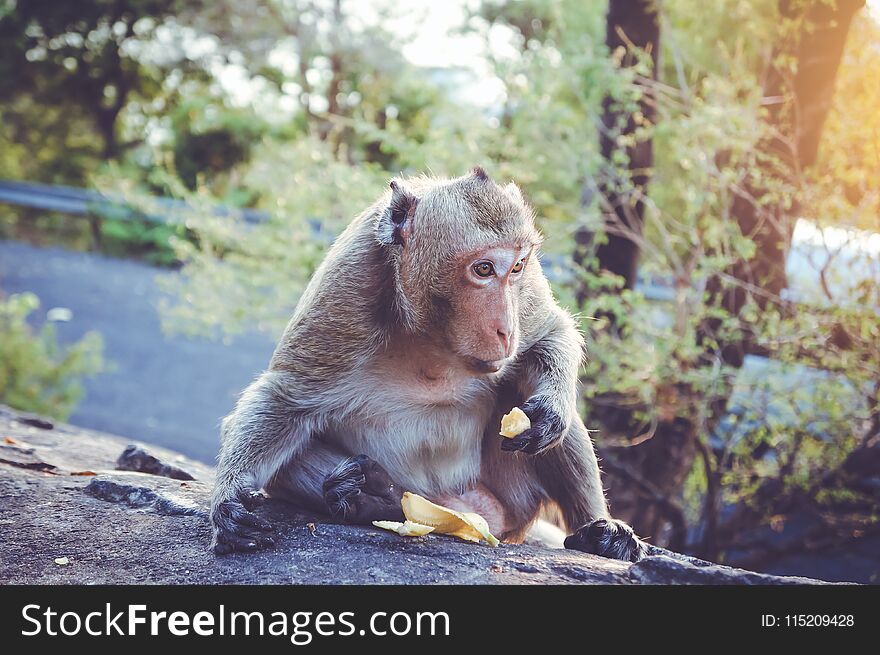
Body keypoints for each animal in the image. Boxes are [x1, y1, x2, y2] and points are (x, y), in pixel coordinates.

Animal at [210, 167, 648, 560]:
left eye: (517, 267)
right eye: (484, 269)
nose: (506, 330)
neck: (433, 337)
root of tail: (460, 509)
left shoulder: (526, 293)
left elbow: (550, 334)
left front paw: (552, 406)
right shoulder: (348, 285)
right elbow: (285, 398)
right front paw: (228, 502)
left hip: (512, 498)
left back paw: (597, 532)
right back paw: (370, 494)